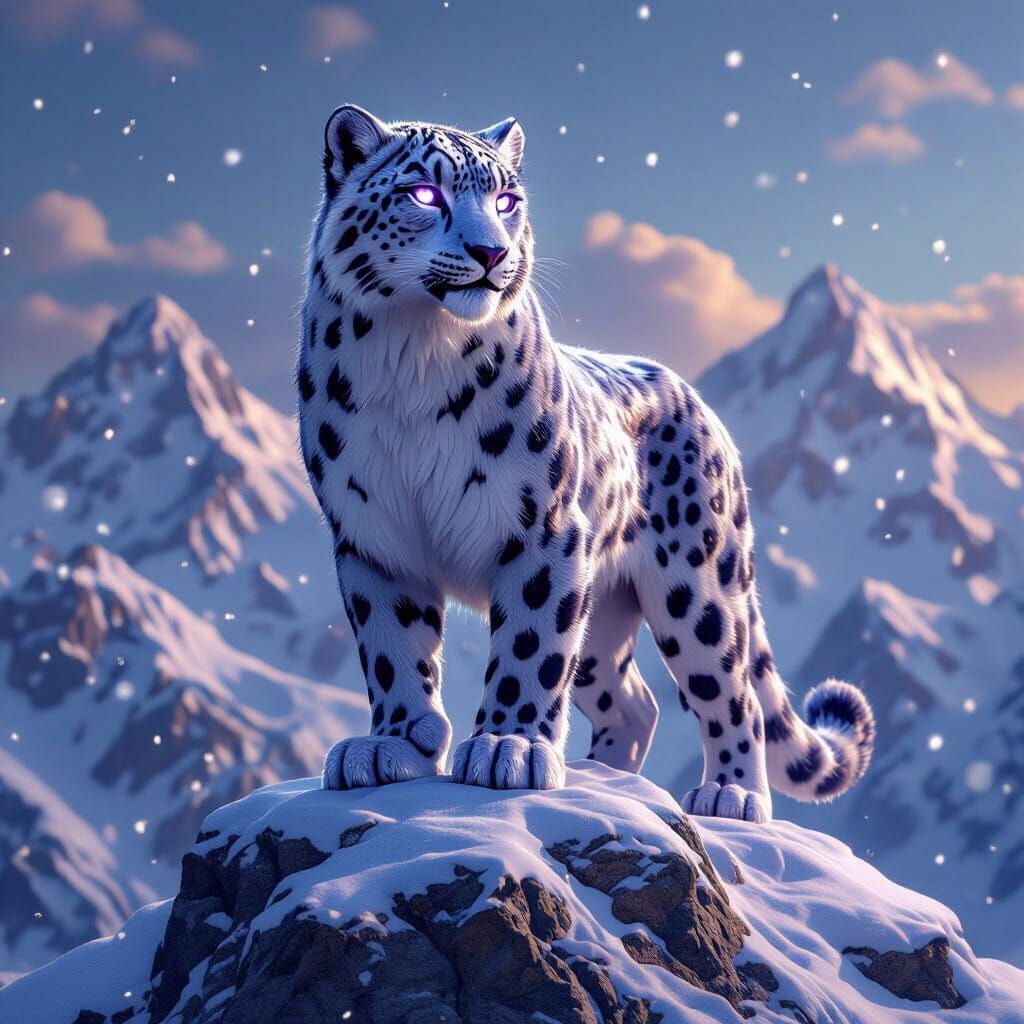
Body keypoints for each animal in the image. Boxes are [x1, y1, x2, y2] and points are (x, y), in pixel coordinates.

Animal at [297, 105, 874, 822]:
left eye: (506, 201)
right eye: (425, 194)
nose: (492, 253)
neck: (415, 355)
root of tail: (704, 408)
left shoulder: (542, 529)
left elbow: (530, 645)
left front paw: (509, 747)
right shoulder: (374, 535)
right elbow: (392, 648)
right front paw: (392, 746)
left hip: (697, 585)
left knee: (730, 690)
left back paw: (731, 794)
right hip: (602, 612)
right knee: (634, 701)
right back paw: (603, 776)